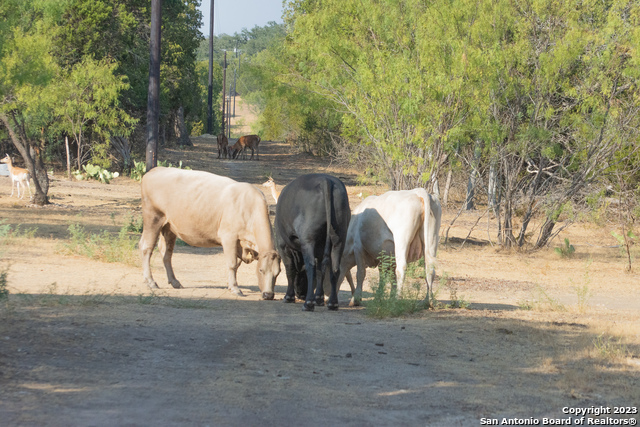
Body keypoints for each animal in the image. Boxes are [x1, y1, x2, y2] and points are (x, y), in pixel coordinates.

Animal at [141, 166, 282, 300]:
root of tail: (155, 170)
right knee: (146, 247)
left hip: (169, 226)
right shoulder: (229, 237)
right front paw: (235, 288)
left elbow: (237, 265)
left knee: (166, 252)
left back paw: (174, 281)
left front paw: (230, 285)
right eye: (261, 270)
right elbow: (232, 264)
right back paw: (150, 281)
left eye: (278, 273)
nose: (268, 295)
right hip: (153, 217)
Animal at [274, 173, 350, 310]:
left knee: (311, 266)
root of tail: (326, 180)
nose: (301, 294)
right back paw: (332, 303)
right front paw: (319, 298)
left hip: (308, 240)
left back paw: (308, 303)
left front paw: (289, 297)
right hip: (339, 239)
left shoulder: (283, 246)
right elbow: (321, 270)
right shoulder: (320, 251)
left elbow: (290, 269)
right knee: (334, 269)